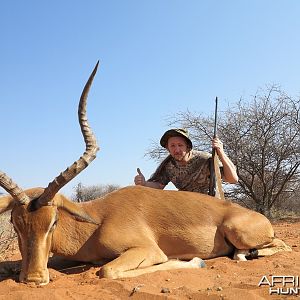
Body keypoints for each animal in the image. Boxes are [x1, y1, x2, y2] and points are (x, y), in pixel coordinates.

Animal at [0, 62, 290, 284]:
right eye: (15, 223)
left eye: (54, 222)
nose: (34, 279)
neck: (97, 221)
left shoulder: (147, 250)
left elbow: (107, 271)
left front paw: (195, 261)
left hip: (238, 231)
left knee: (280, 246)